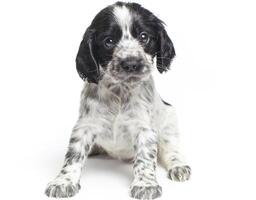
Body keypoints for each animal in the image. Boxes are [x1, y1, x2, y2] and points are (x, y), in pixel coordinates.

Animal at [45, 1, 190, 200]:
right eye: (109, 41)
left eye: (144, 37)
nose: (131, 64)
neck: (120, 92)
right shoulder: (85, 126)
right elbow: (73, 155)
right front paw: (63, 182)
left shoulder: (144, 128)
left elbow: (145, 158)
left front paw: (145, 184)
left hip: (170, 120)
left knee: (171, 149)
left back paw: (179, 167)